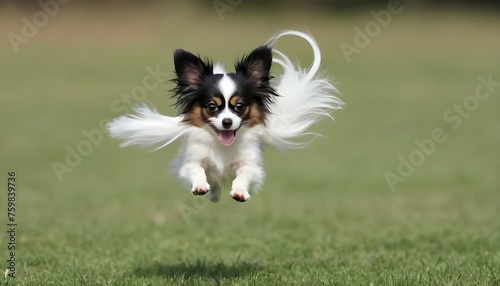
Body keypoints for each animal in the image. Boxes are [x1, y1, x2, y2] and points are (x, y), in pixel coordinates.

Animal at [108, 30, 344, 202]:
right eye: (212, 107)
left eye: (239, 106)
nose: (227, 122)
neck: (223, 146)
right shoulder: (191, 161)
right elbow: (197, 171)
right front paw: (200, 186)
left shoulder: (251, 165)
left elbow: (243, 176)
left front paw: (239, 192)